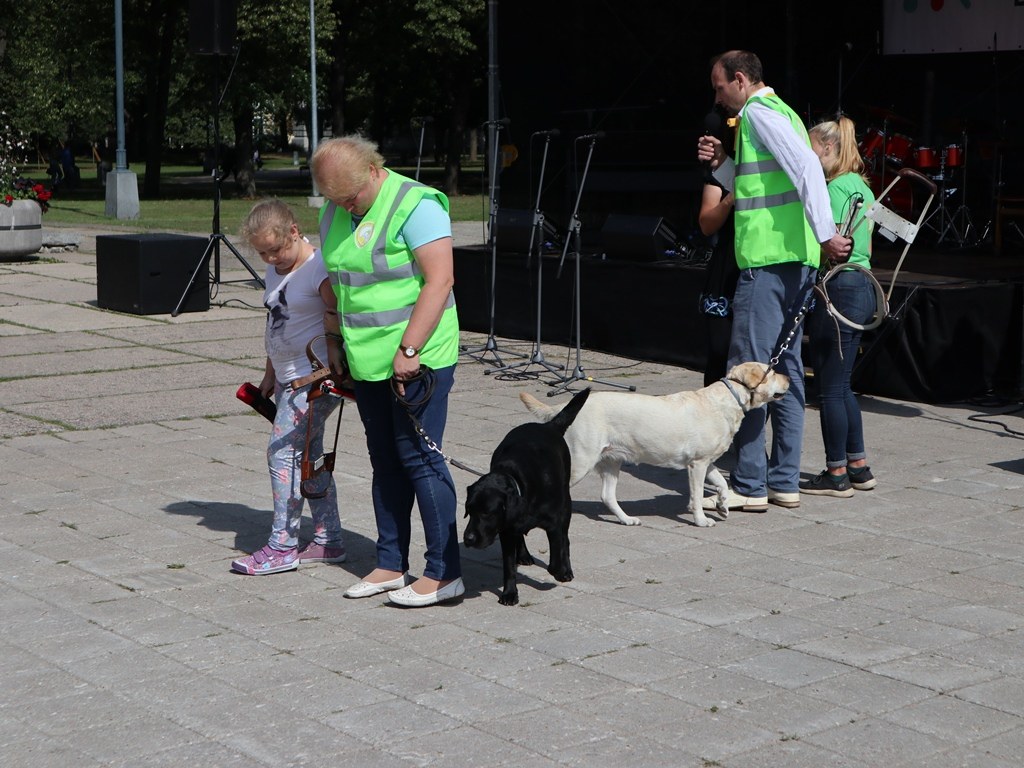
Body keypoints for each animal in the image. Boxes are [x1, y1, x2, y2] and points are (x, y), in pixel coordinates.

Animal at [464, 387, 593, 606]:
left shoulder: (554, 523)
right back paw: (523, 555)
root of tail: (547, 426)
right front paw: (509, 593)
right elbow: (509, 567)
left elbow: (556, 554)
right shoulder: (506, 530)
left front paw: (560, 571)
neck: (518, 482)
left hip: (566, 503)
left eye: (487, 513)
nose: (468, 538)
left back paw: (565, 569)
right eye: (469, 511)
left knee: (565, 540)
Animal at [520, 364, 790, 528]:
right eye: (772, 372)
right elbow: (697, 495)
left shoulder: (707, 462)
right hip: (582, 460)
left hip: (611, 460)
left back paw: (627, 519)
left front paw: (723, 506)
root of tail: (564, 407)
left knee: (607, 495)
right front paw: (701, 519)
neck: (728, 400)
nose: (788, 378)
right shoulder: (697, 464)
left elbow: (722, 484)